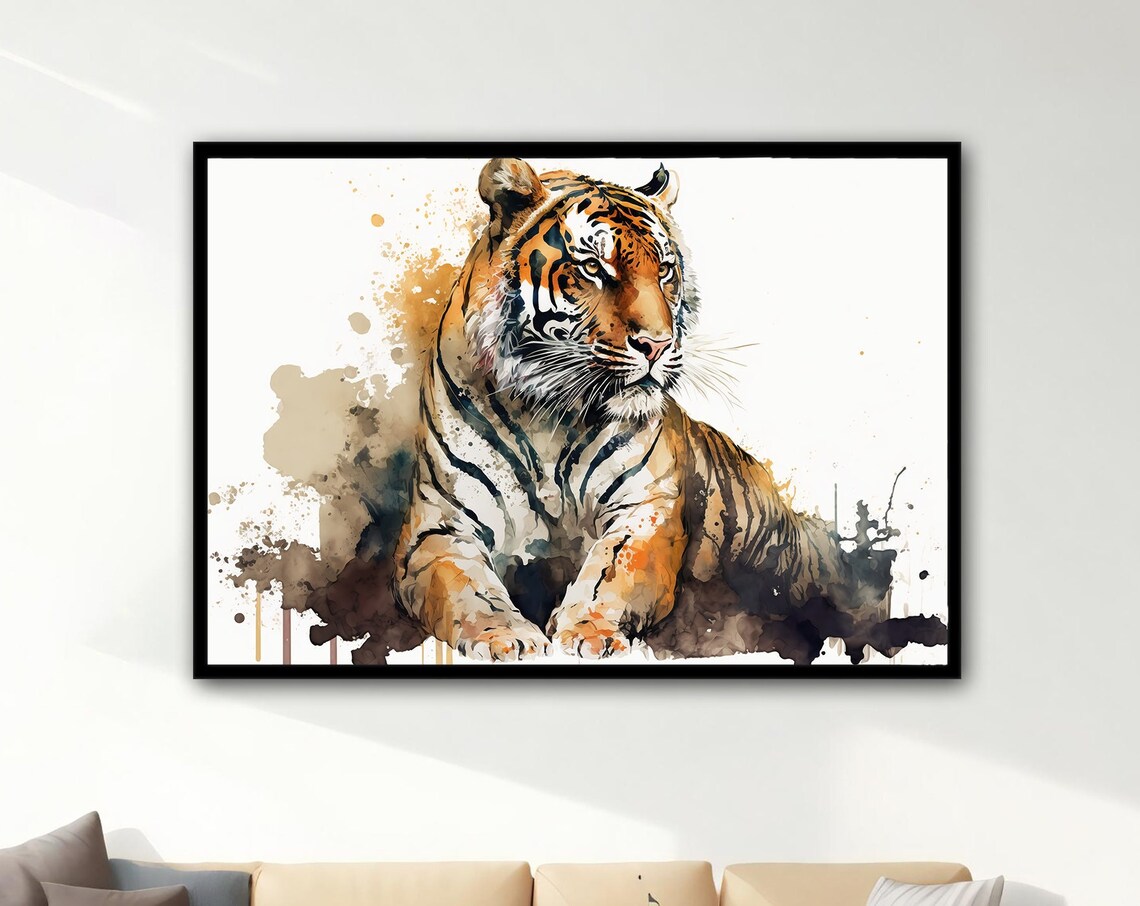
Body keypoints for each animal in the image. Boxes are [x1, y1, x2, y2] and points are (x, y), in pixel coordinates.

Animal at [392, 157, 893, 661]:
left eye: (666, 271)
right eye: (593, 267)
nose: (658, 344)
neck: (547, 418)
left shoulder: (646, 510)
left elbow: (610, 572)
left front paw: (588, 631)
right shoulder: (440, 527)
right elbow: (469, 590)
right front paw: (505, 636)